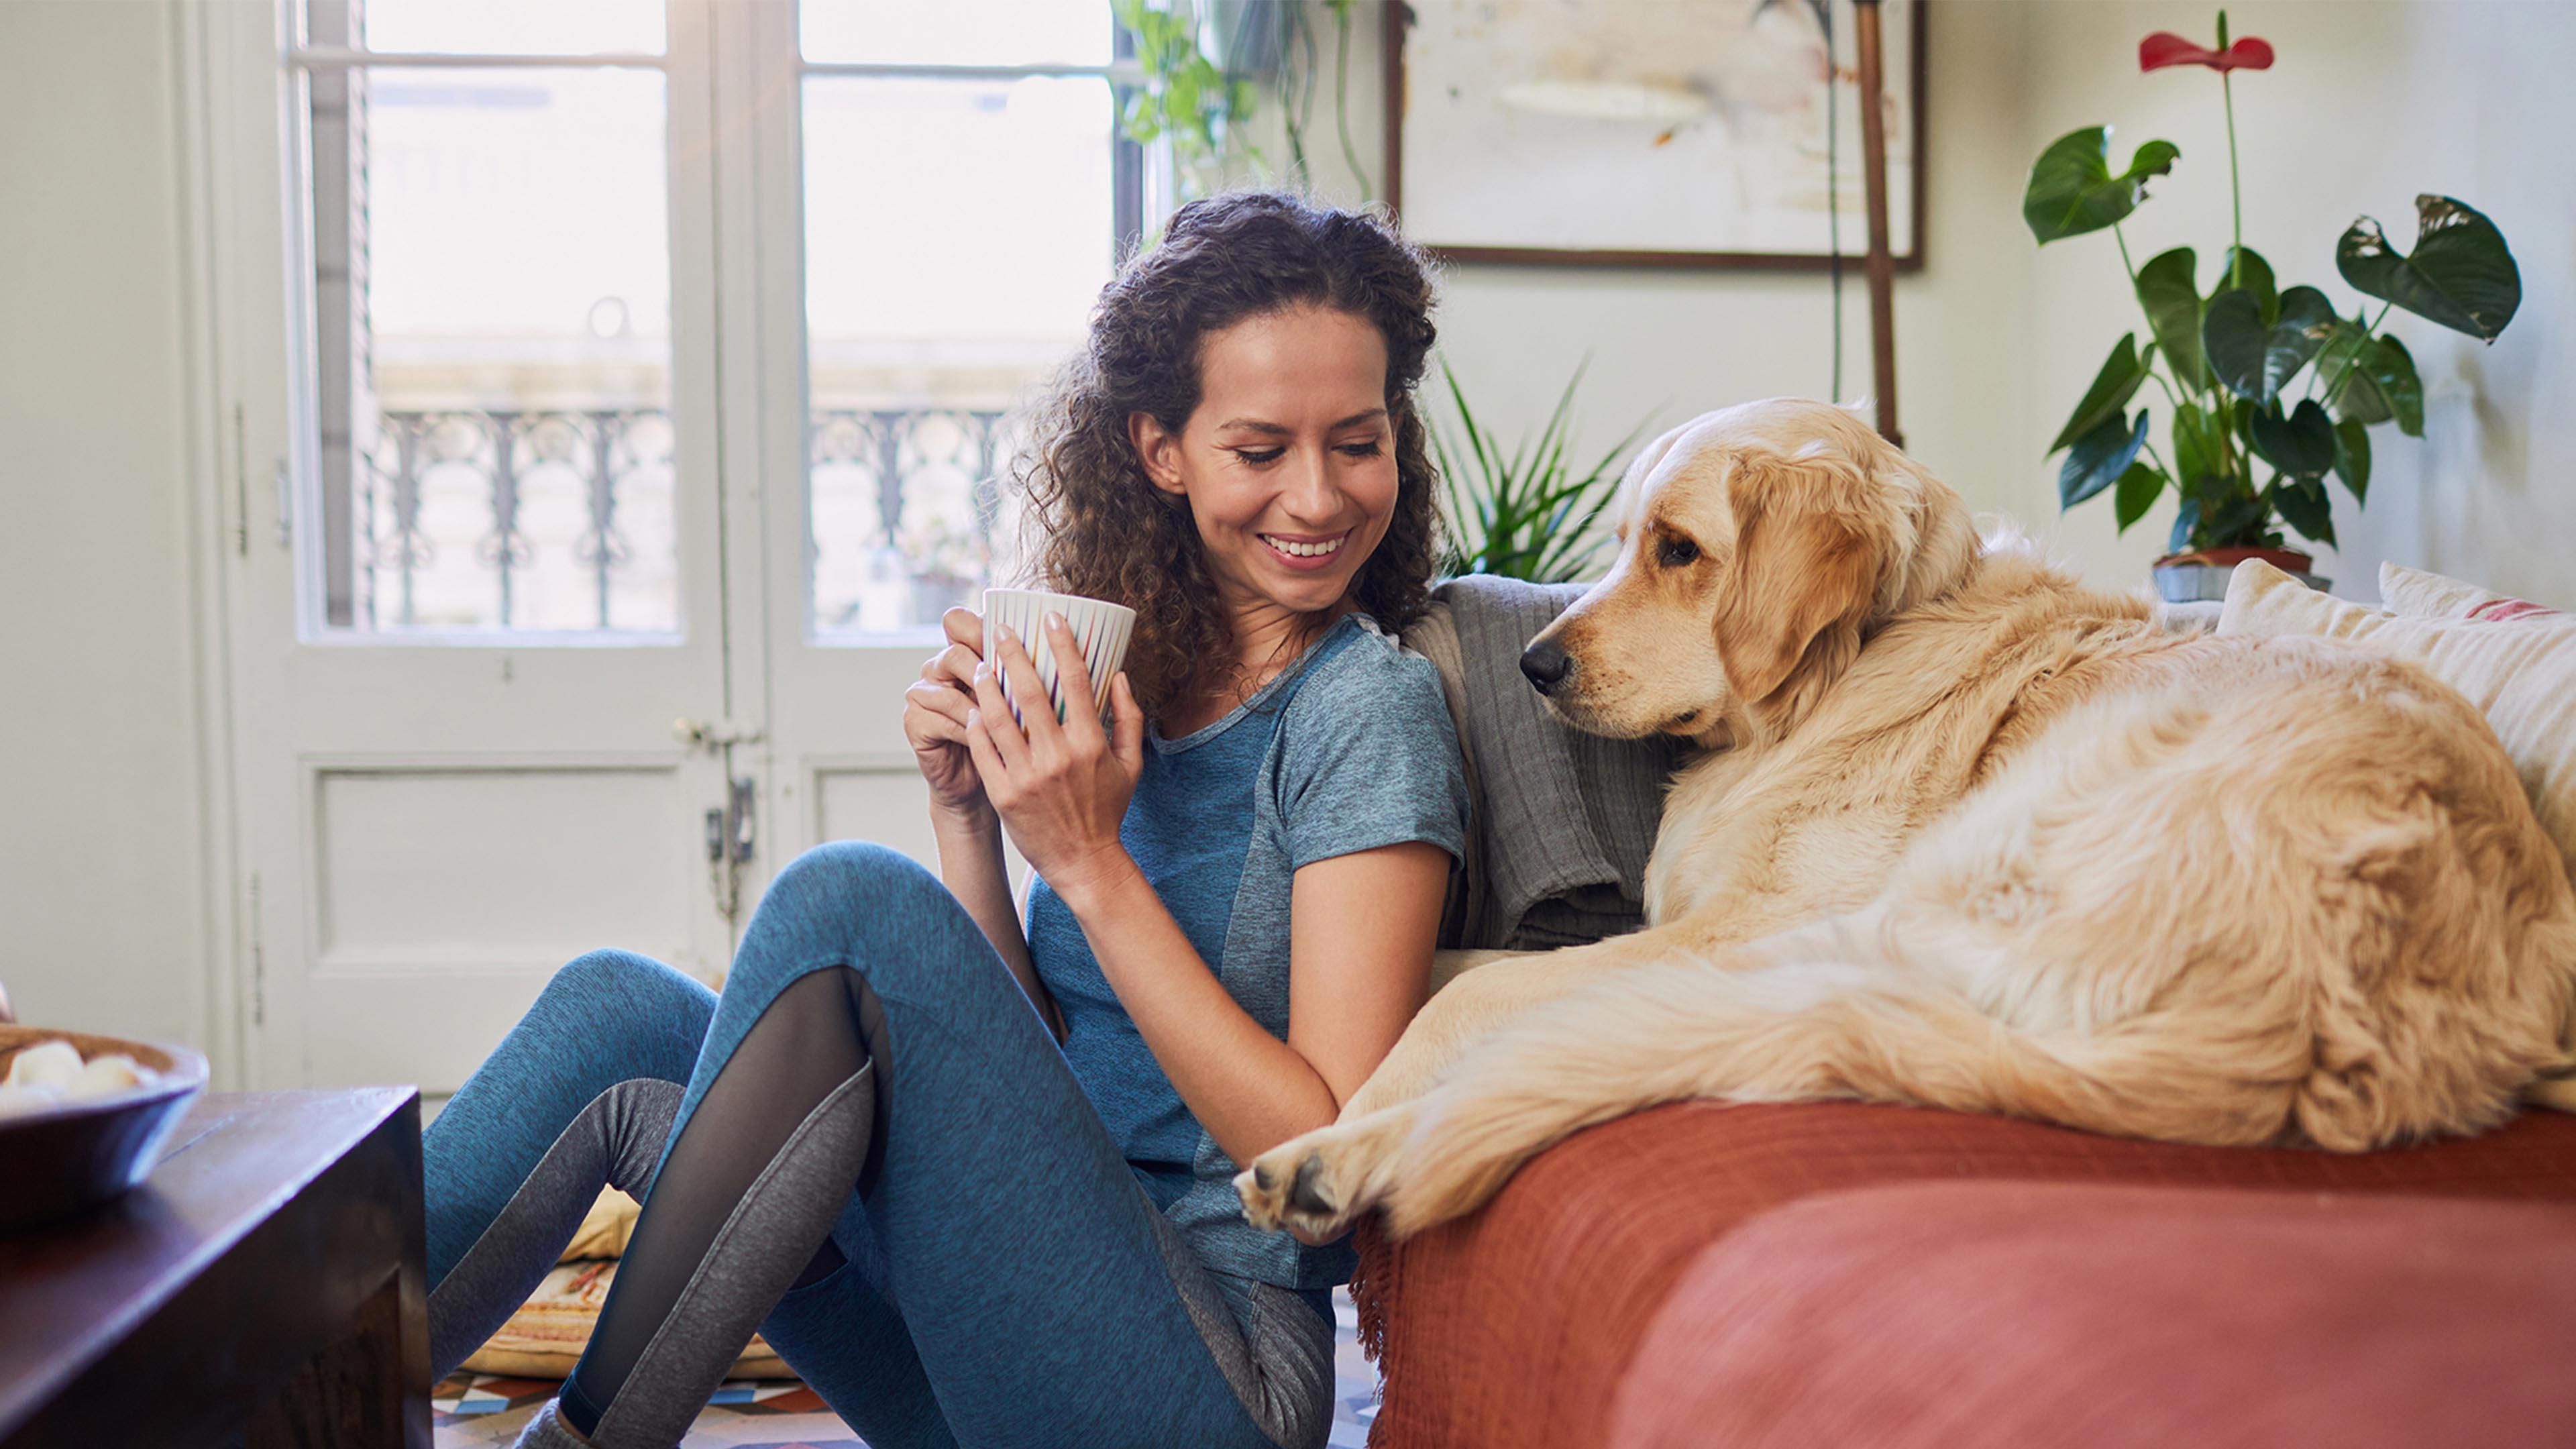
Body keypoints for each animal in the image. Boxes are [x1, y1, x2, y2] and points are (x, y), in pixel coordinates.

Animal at [1236, 394, 2565, 1242]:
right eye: (1619, 545)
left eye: (1679, 550)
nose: (1535, 668)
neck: (1843, 669)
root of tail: (2288, 1022)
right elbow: (1471, 964)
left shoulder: (1743, 923)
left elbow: (1479, 994)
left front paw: (1356, 1099)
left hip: (1907, 908)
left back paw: (1332, 1162)